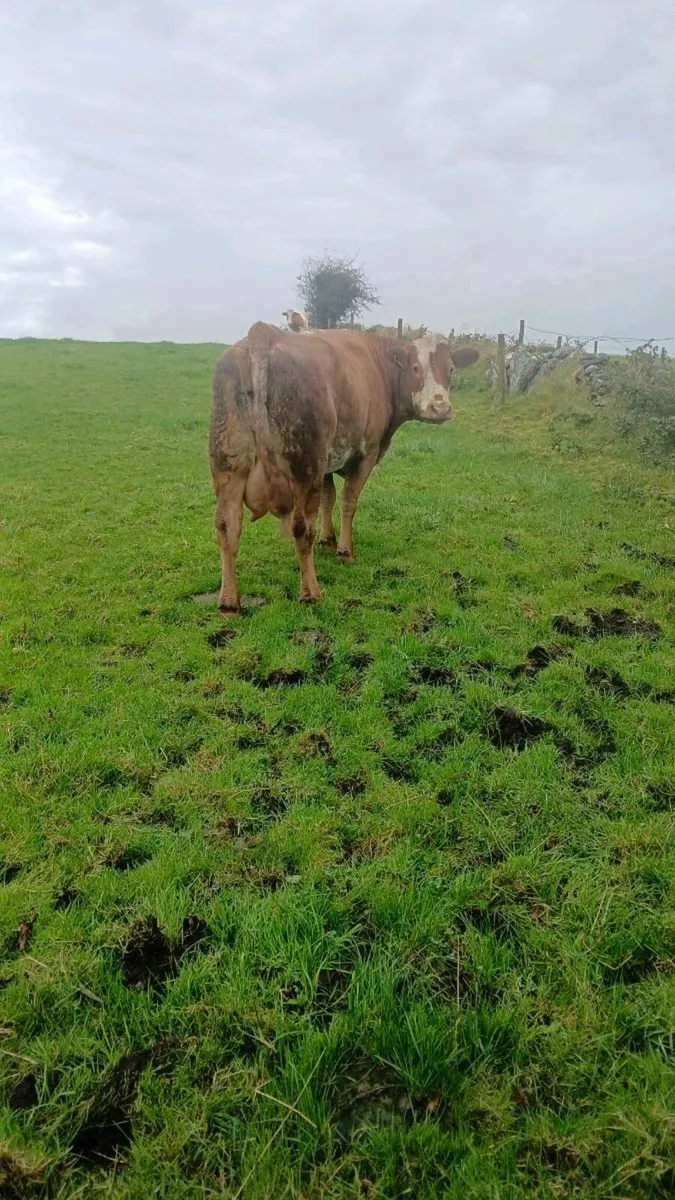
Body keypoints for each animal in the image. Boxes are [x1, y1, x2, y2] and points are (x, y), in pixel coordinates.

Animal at [209, 324, 479, 610]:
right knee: (301, 528)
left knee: (227, 526)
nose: (440, 407)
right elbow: (348, 501)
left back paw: (229, 602)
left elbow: (329, 498)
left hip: (229, 467)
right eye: (416, 368)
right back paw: (312, 592)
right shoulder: (366, 454)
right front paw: (344, 550)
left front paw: (327, 540)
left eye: (451, 369)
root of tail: (264, 333)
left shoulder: (327, 464)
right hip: (306, 467)